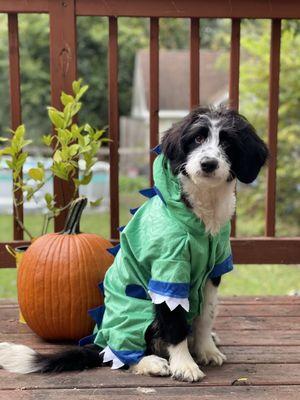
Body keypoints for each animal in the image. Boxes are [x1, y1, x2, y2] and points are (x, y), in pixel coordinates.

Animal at [0, 105, 268, 382]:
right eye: (197, 138)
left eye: (227, 142)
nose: (208, 164)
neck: (200, 215)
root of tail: (100, 341)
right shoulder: (168, 272)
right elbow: (174, 323)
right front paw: (185, 365)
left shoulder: (214, 270)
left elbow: (206, 315)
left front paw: (206, 349)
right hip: (134, 311)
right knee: (118, 355)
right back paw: (150, 362)